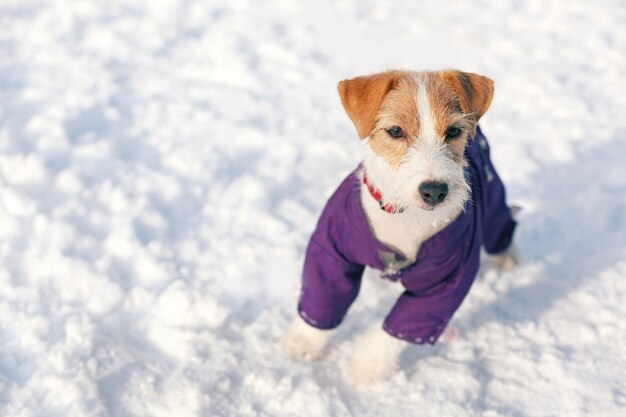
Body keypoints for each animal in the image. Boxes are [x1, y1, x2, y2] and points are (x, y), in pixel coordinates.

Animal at [282, 68, 516, 384]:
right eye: (395, 131)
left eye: (453, 131)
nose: (434, 191)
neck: (405, 214)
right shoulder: (331, 249)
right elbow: (323, 296)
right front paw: (303, 344)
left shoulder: (445, 282)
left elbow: (399, 328)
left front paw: (365, 369)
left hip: (492, 198)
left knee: (503, 225)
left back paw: (509, 259)